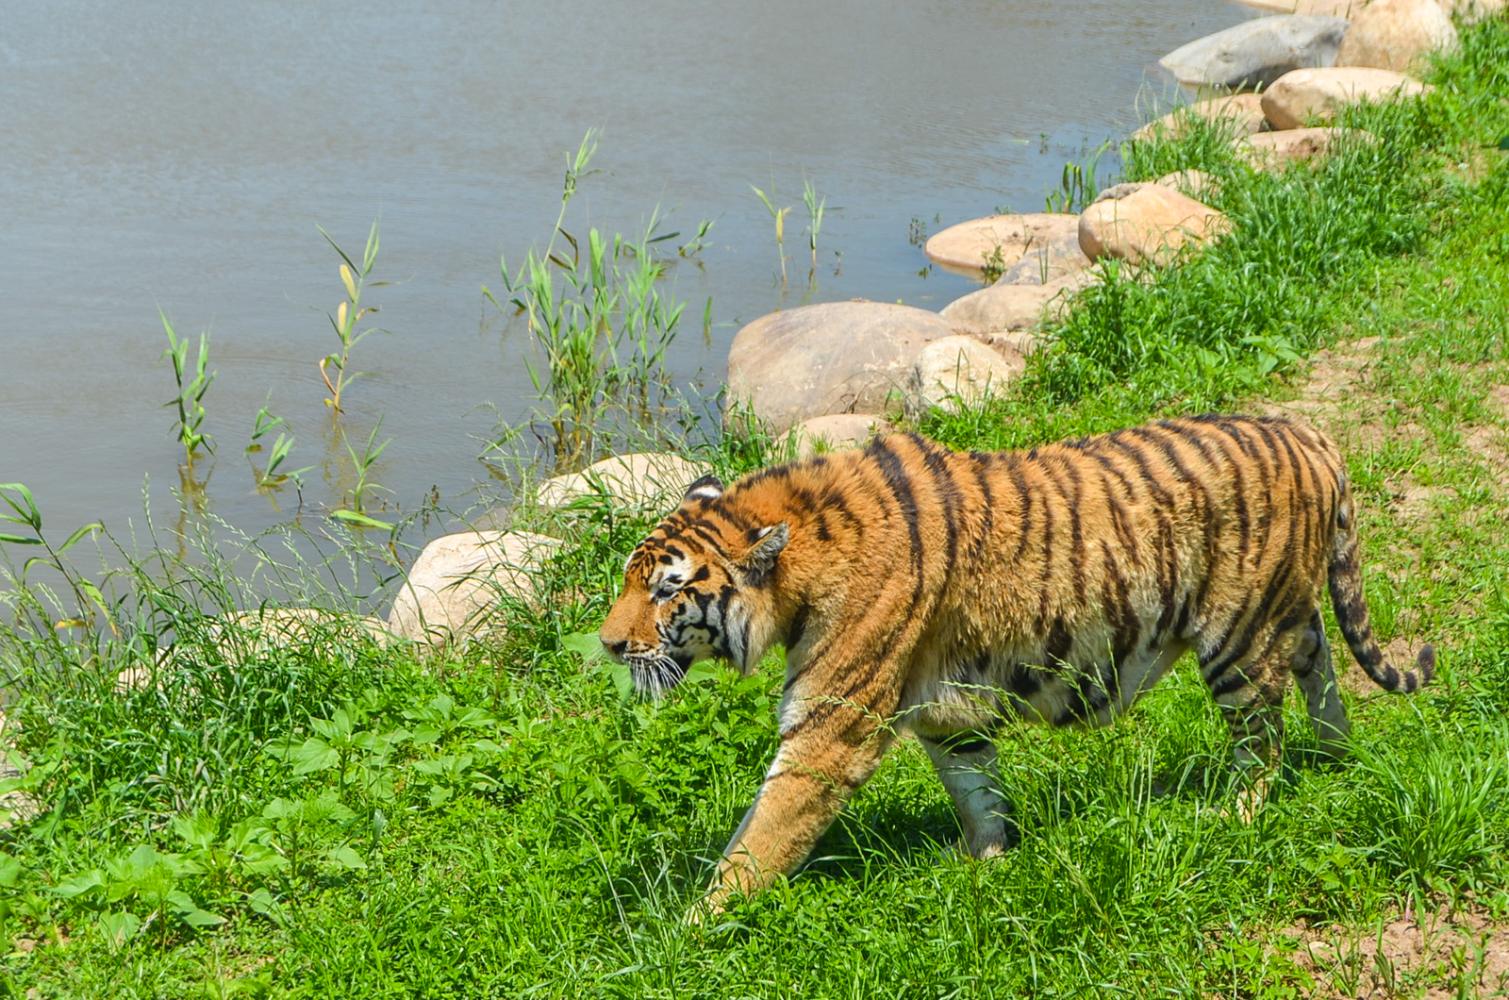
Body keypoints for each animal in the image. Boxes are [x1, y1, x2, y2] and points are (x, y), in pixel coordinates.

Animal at [594, 413, 1430, 917]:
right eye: (631, 578)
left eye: (666, 590)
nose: (606, 644)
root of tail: (1303, 430)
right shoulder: (943, 710)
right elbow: (975, 788)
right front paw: (985, 860)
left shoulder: (832, 726)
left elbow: (764, 832)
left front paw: (694, 925)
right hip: (1282, 611)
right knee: (1317, 657)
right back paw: (1336, 755)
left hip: (1237, 637)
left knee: (1262, 737)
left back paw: (1235, 810)